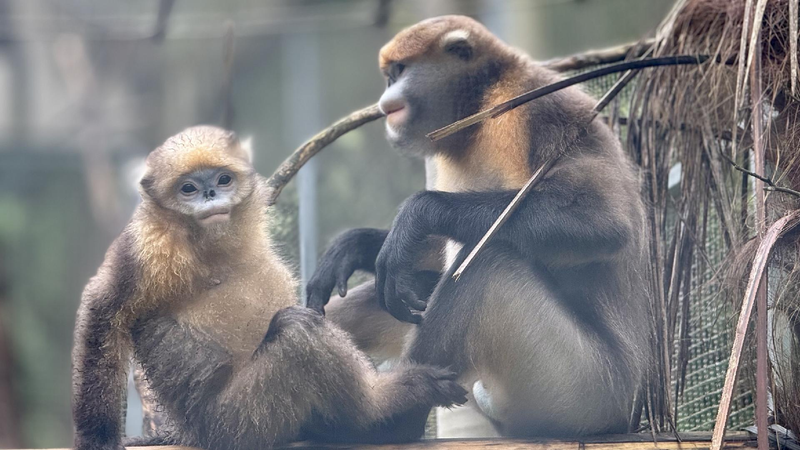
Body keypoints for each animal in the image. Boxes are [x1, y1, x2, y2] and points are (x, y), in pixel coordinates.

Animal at [71, 126, 468, 450]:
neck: (206, 244)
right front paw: (97, 440)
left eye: (223, 179)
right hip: (241, 423)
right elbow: (103, 310)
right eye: (188, 188)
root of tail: (193, 433)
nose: (210, 193)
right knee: (297, 330)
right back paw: (388, 414)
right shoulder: (147, 248)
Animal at [306, 15, 651, 440]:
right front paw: (353, 247)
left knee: (488, 263)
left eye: (399, 72)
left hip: (582, 391)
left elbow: (606, 221)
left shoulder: (540, 107)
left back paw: (393, 420)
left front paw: (418, 214)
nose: (387, 98)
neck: (481, 107)